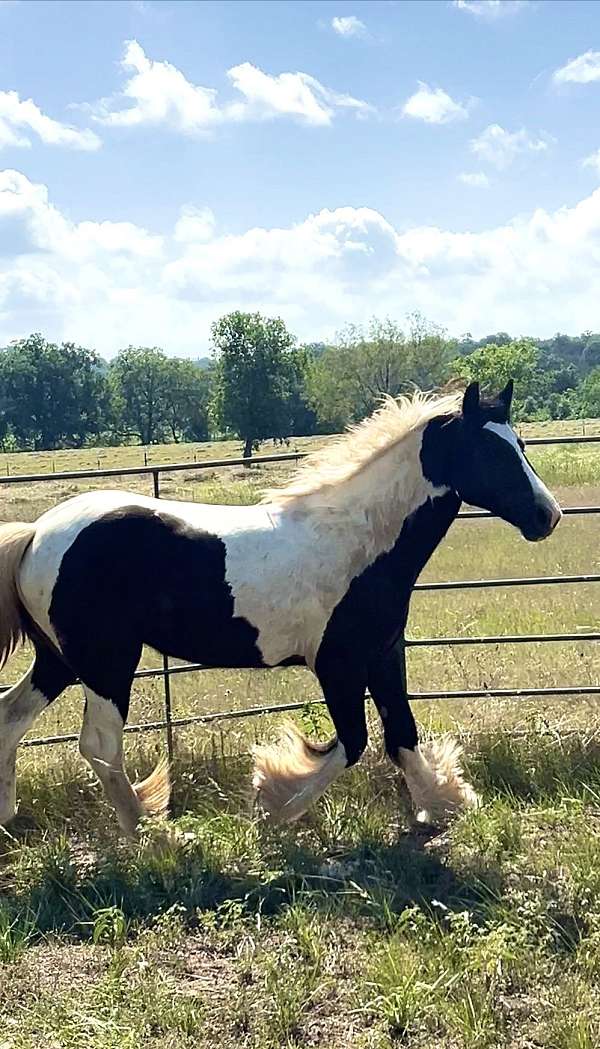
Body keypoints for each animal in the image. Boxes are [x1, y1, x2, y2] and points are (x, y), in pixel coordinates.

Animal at [0, 383, 558, 835]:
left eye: (521, 445)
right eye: (489, 451)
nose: (546, 516)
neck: (358, 545)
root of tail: (37, 533)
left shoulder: (383, 654)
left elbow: (402, 733)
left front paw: (442, 804)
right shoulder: (337, 664)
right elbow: (351, 742)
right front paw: (273, 803)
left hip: (60, 660)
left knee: (10, 717)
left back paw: (10, 820)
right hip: (107, 663)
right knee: (99, 744)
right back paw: (153, 833)